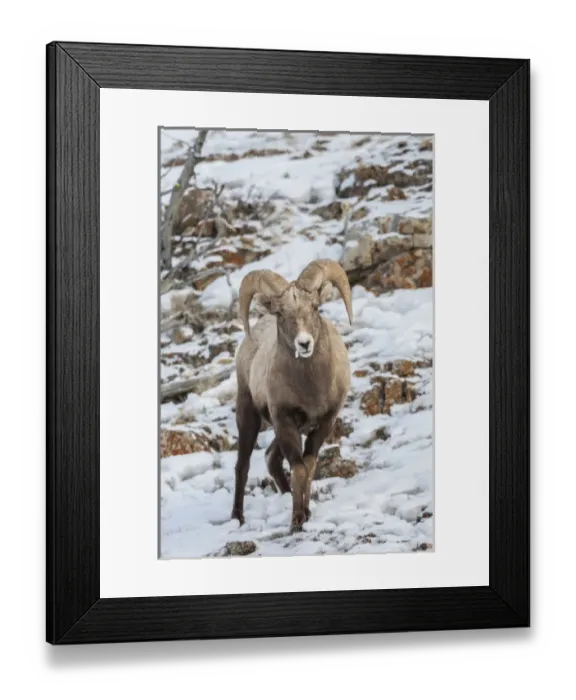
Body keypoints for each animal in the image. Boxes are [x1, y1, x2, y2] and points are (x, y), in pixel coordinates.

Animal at [231, 259, 353, 533]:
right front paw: (297, 520)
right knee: (243, 465)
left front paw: (305, 513)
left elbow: (309, 465)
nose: (304, 344)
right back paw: (237, 519)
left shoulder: (324, 423)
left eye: (315, 307)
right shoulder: (285, 421)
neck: (311, 388)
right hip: (249, 415)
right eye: (280, 314)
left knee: (270, 458)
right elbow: (298, 468)